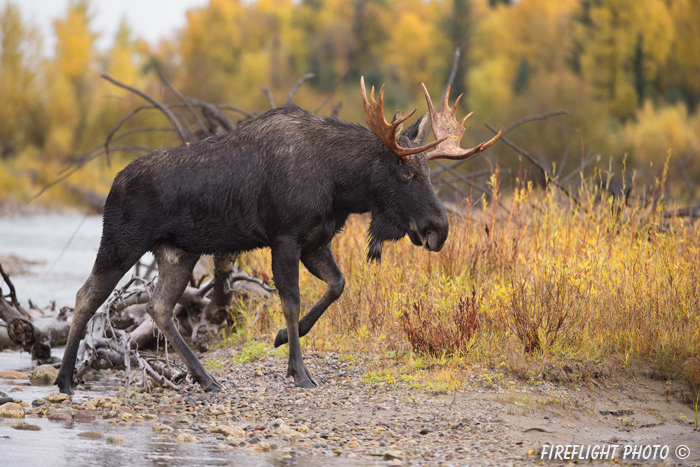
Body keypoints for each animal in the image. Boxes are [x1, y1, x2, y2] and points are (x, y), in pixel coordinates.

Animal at [54, 78, 504, 394]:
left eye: (428, 171)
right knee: (86, 295)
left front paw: (284, 338)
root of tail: (112, 185)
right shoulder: (285, 236)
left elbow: (337, 285)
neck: (340, 184)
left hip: (177, 252)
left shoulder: (316, 240)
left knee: (158, 307)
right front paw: (299, 370)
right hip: (121, 241)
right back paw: (65, 379)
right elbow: (290, 299)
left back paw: (206, 378)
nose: (439, 229)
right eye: (407, 172)